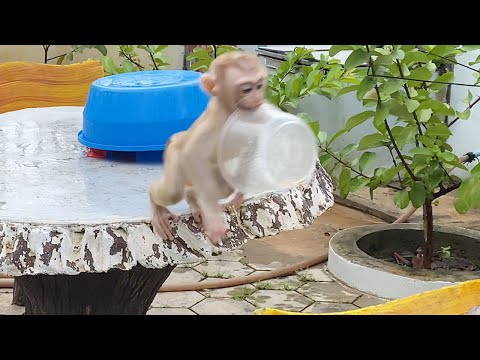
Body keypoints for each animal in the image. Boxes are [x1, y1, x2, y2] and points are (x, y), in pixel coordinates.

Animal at [150, 50, 268, 246]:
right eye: (246, 89)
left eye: (259, 86)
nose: (258, 98)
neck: (230, 111)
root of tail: (176, 137)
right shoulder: (215, 122)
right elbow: (193, 156)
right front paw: (214, 222)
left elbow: (252, 147)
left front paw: (239, 196)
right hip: (174, 157)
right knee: (174, 190)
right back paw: (157, 204)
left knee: (219, 185)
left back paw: (193, 198)